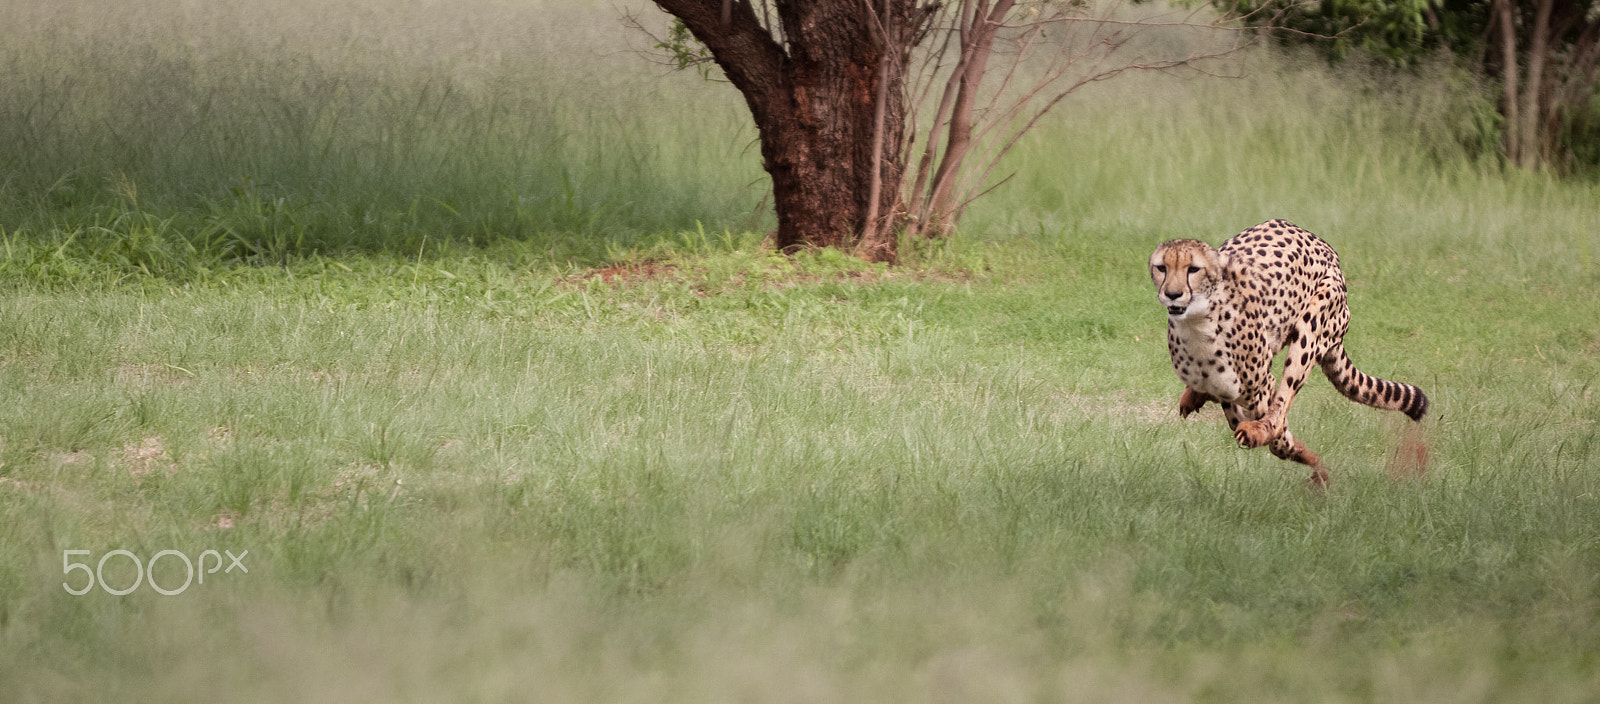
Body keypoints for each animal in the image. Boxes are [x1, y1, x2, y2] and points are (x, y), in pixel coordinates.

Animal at [1148, 219, 1428, 486]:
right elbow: (1242, 419)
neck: (1198, 323)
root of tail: (1320, 242)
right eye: (1162, 268)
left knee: (1283, 398)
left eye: (1193, 269)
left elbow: (1276, 428)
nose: (1172, 294)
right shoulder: (1226, 389)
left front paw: (1303, 457)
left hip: (1313, 325)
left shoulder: (1260, 385)